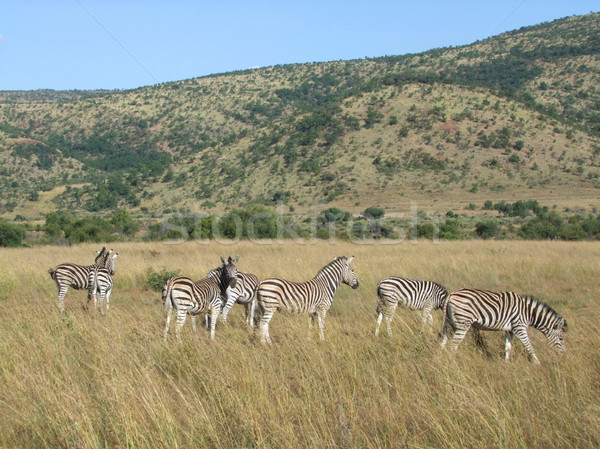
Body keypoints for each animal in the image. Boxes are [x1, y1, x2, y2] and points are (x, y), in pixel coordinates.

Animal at [440, 288, 568, 364]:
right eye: (561, 338)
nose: (563, 355)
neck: (527, 312)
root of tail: (451, 294)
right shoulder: (519, 328)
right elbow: (529, 346)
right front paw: (538, 363)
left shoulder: (509, 330)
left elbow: (508, 347)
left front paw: (506, 363)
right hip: (463, 323)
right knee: (454, 344)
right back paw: (454, 361)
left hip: (451, 323)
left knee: (444, 341)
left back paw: (440, 357)